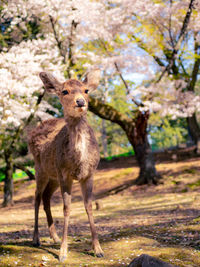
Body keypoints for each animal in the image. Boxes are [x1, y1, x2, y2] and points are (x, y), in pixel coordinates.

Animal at [28, 70, 104, 262]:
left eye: (86, 90)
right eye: (65, 91)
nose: (81, 101)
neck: (79, 161)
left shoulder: (89, 174)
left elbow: (89, 206)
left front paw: (98, 249)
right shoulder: (65, 174)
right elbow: (67, 208)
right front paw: (63, 252)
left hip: (53, 176)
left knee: (46, 197)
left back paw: (53, 237)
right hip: (40, 170)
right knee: (37, 198)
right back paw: (36, 239)